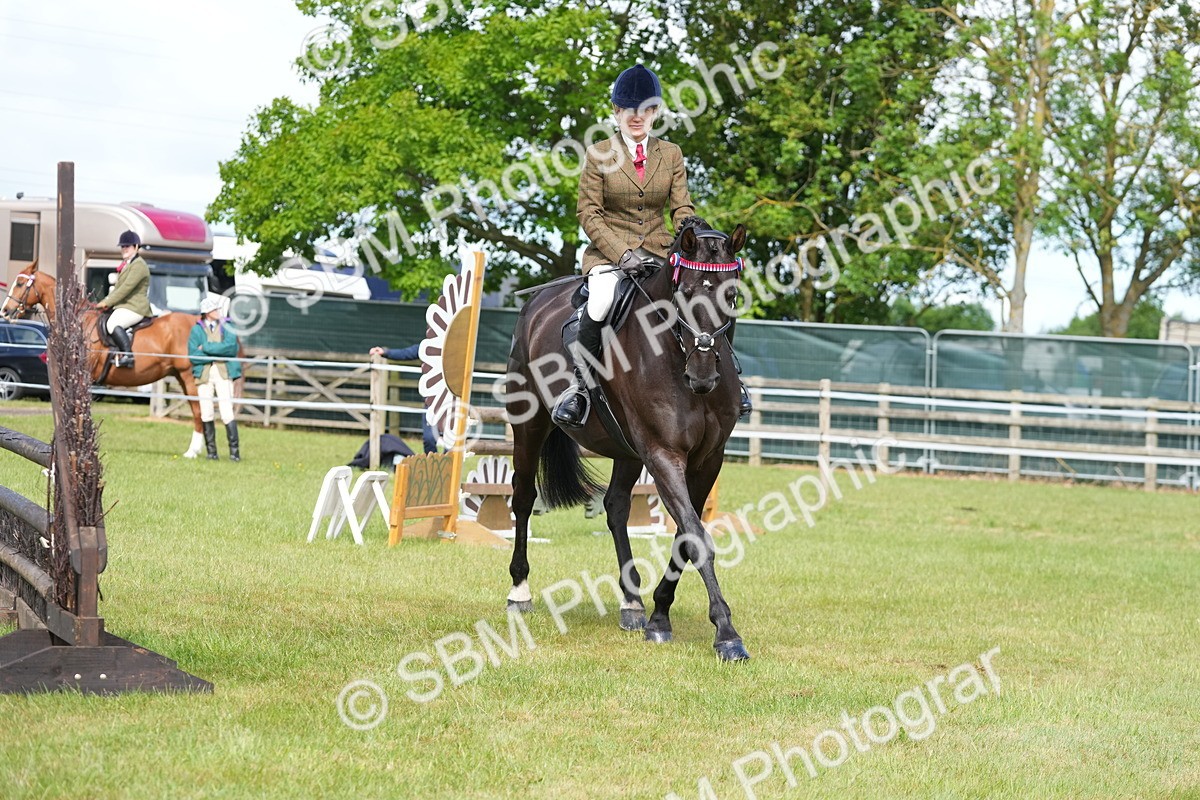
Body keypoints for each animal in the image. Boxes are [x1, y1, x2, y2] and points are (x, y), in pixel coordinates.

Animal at [0, 264, 209, 457]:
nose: (5, 311)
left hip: (188, 376)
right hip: (180, 376)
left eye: (20, 284)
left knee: (198, 410)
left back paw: (193, 451)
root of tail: (196, 323)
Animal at [505, 219, 751, 661]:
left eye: (731, 295)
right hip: (529, 424)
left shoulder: (708, 460)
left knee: (616, 507)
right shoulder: (664, 454)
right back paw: (520, 591)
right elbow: (696, 537)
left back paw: (632, 603)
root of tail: (538, 304)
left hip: (627, 450)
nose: (703, 376)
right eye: (685, 293)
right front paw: (726, 633)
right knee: (524, 498)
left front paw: (659, 616)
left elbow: (685, 536)